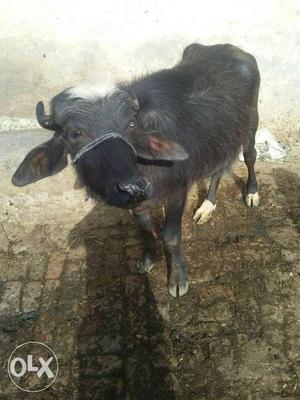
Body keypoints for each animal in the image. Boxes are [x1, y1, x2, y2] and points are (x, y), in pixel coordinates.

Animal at [12, 43, 260, 296]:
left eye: (130, 124)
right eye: (74, 133)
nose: (131, 186)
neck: (142, 166)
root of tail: (232, 50)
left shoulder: (177, 191)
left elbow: (171, 236)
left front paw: (177, 278)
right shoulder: (138, 201)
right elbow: (145, 228)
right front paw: (148, 259)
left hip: (251, 122)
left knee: (250, 155)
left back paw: (251, 193)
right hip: (223, 136)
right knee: (219, 167)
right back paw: (207, 206)